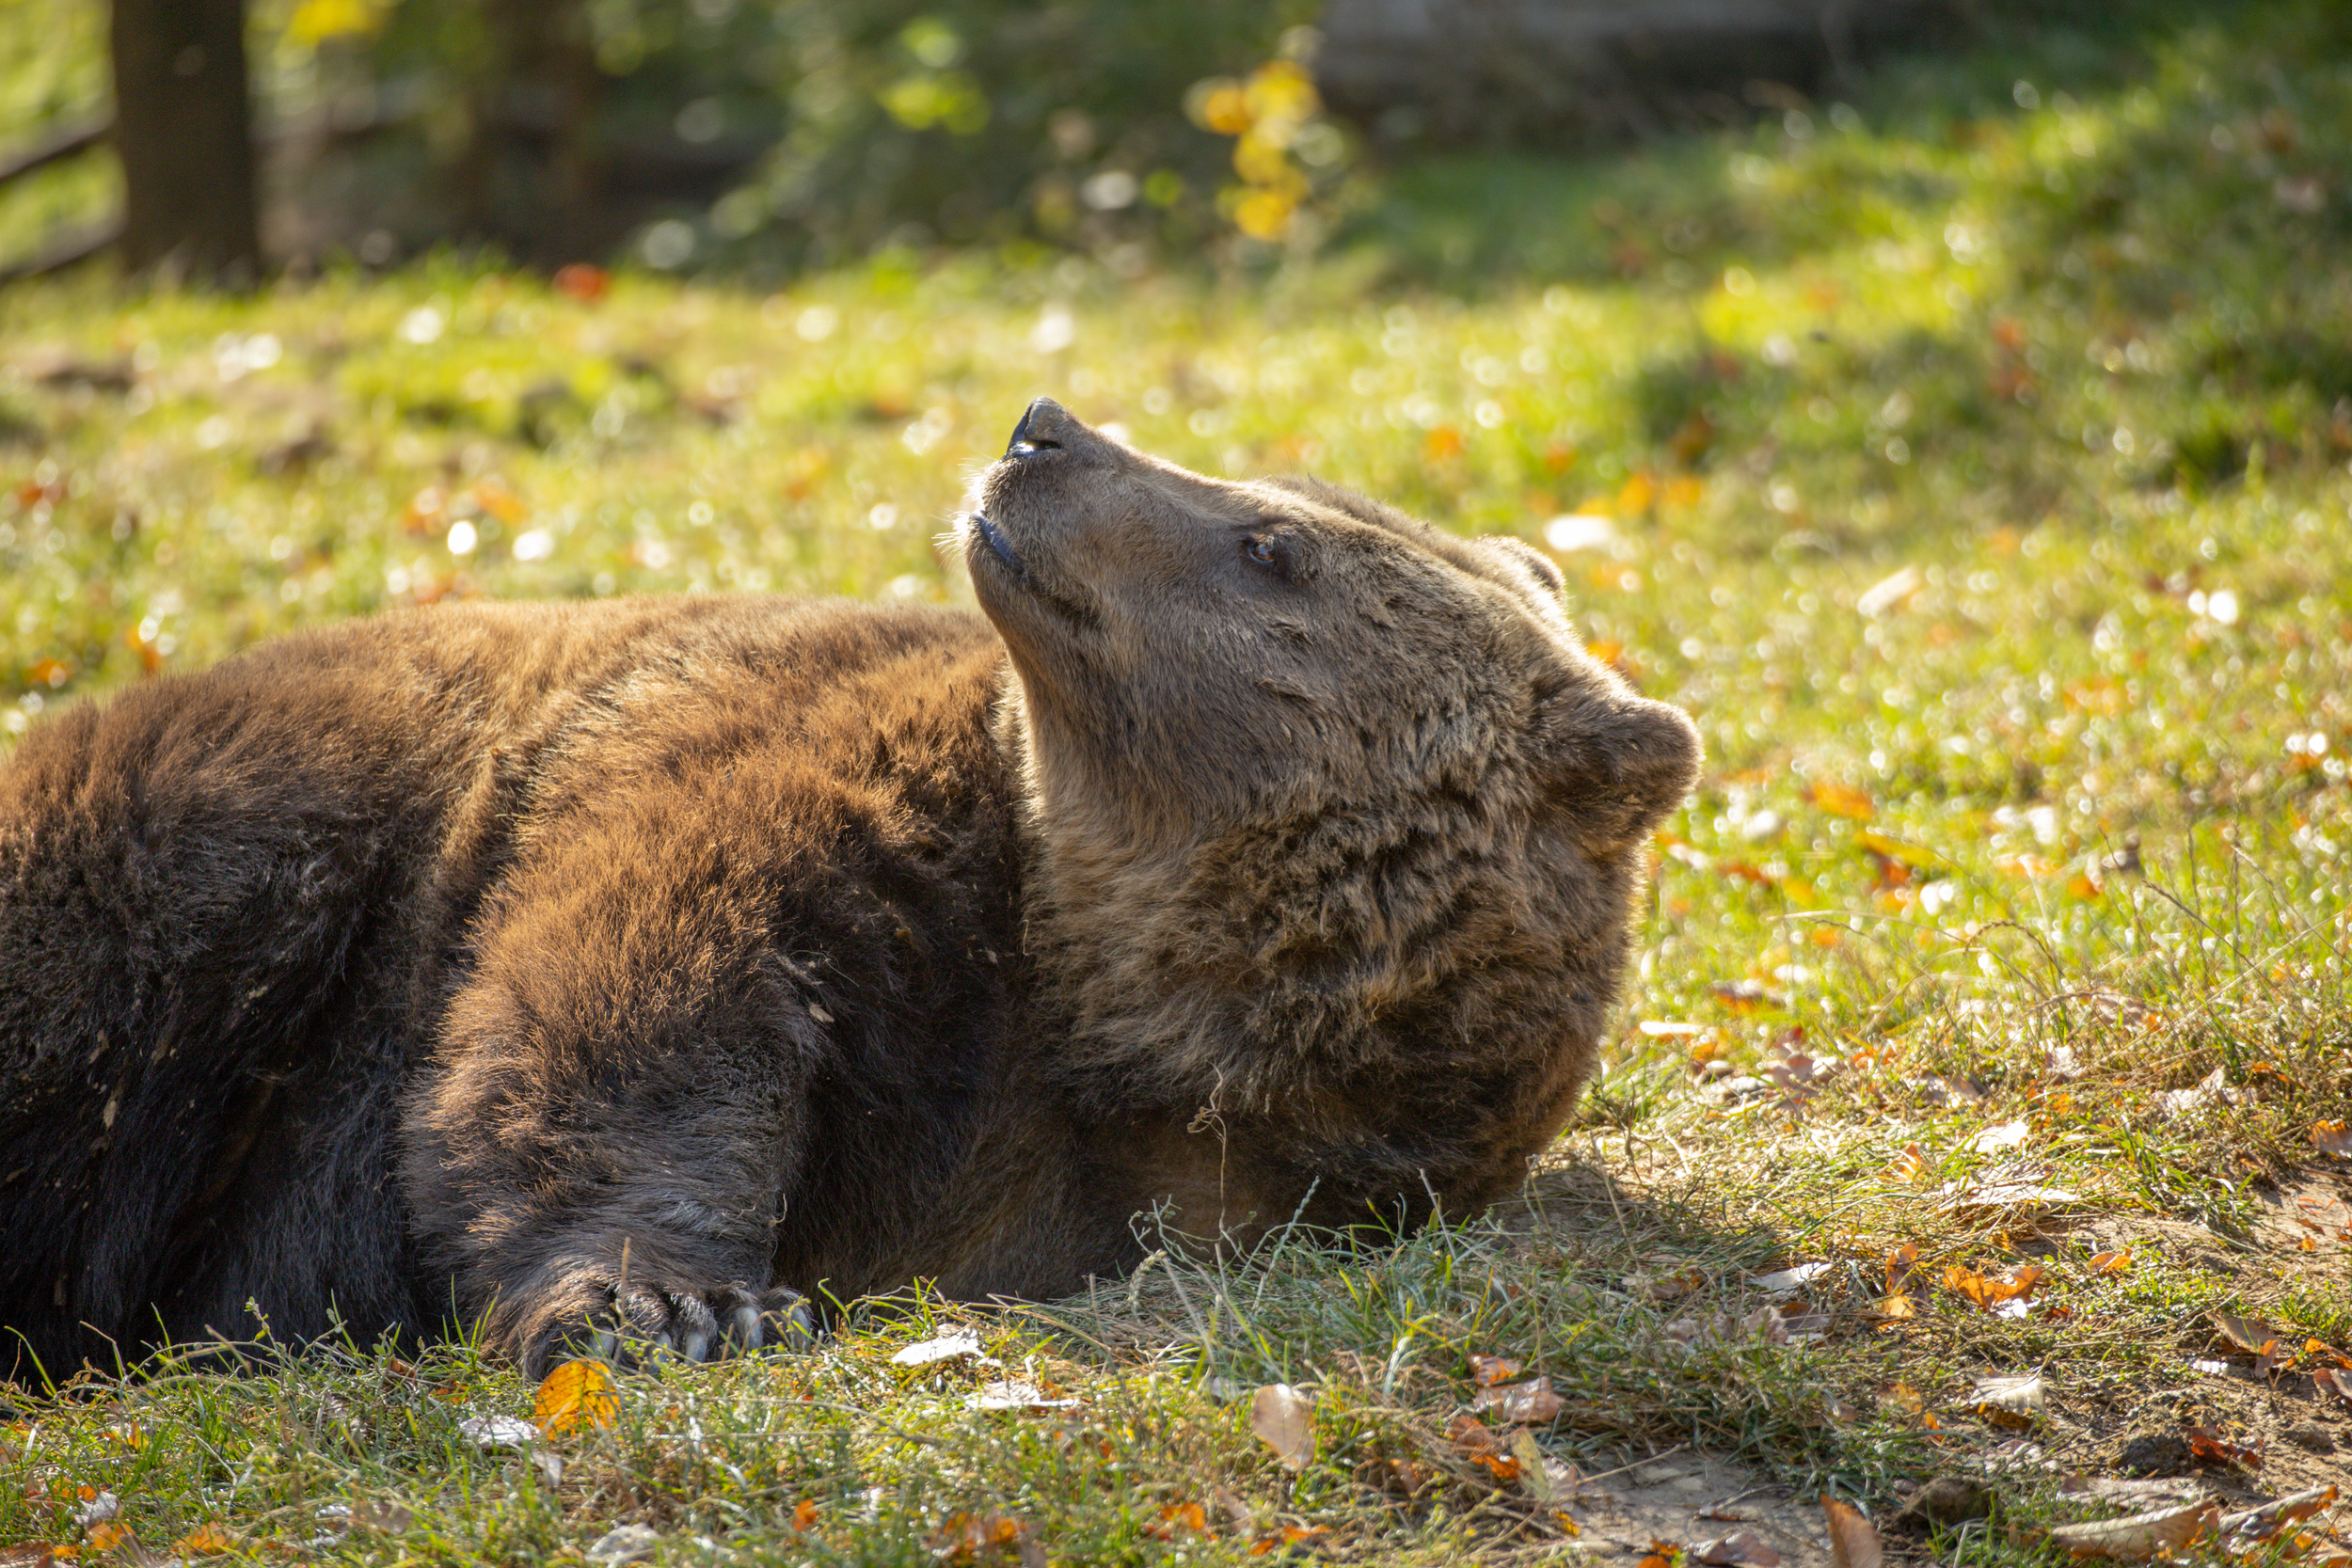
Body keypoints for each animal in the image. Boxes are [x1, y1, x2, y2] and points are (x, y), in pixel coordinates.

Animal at [0, 399, 1693, 1382]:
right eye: (1273, 493)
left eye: (1271, 540)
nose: (1047, 426)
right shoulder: (808, 801)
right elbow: (645, 1008)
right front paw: (678, 1300)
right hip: (232, 875)